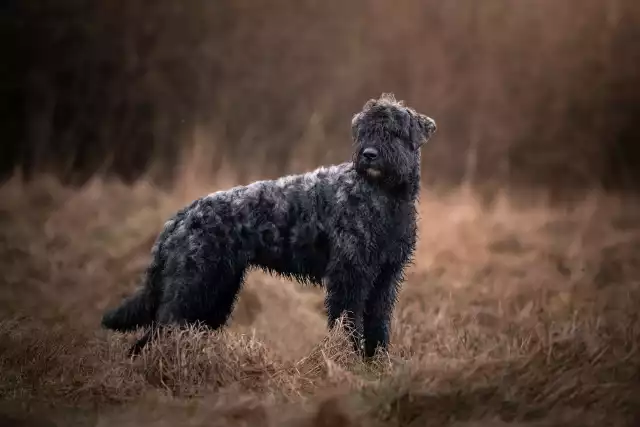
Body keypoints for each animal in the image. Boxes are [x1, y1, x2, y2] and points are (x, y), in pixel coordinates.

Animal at [102, 93, 438, 358]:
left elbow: (378, 324)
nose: (369, 154)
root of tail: (179, 218)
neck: (386, 198)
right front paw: (348, 361)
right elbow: (348, 322)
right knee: (158, 331)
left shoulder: (385, 277)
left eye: (394, 132)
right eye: (364, 131)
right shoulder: (350, 275)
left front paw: (375, 363)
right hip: (193, 286)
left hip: (216, 291)